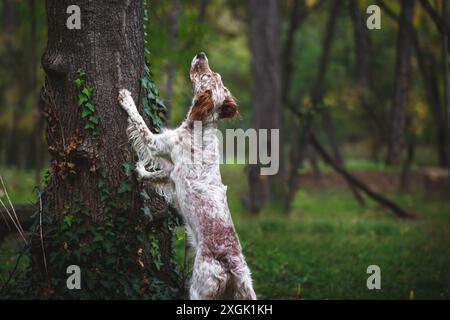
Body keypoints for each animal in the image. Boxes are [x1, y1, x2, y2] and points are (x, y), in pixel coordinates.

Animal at [118, 51, 255, 298]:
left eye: (206, 75)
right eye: (213, 74)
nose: (201, 54)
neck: (202, 127)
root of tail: (229, 262)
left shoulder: (157, 144)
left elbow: (140, 122)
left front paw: (126, 98)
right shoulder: (171, 171)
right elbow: (156, 174)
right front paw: (141, 172)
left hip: (198, 288)